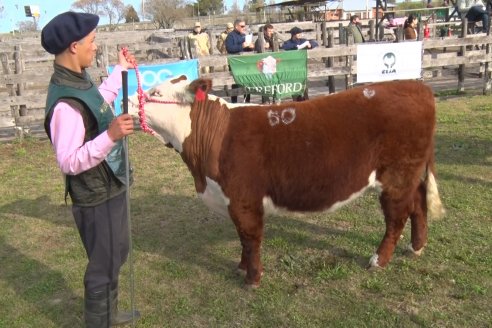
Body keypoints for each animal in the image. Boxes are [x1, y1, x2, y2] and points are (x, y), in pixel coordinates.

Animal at [128, 77, 446, 288]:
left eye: (156, 92)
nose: (123, 102)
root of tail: (416, 86)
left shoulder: (244, 200)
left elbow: (250, 237)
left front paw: (253, 278)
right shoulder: (234, 202)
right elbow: (242, 239)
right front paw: (241, 267)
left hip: (396, 176)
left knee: (397, 217)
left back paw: (379, 260)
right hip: (408, 175)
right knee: (418, 203)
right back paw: (417, 247)